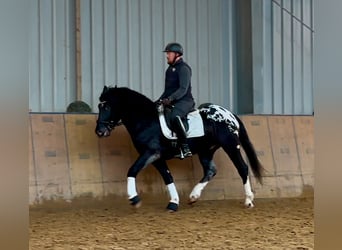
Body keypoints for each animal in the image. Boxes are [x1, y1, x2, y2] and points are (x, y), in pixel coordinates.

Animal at [95, 85, 264, 211]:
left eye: (107, 106)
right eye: (99, 106)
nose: (99, 131)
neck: (146, 120)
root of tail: (230, 114)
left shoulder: (151, 153)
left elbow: (132, 170)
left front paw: (134, 198)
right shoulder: (156, 157)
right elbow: (168, 177)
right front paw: (173, 203)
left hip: (230, 145)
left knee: (242, 168)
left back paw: (248, 201)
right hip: (206, 150)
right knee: (210, 170)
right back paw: (193, 196)